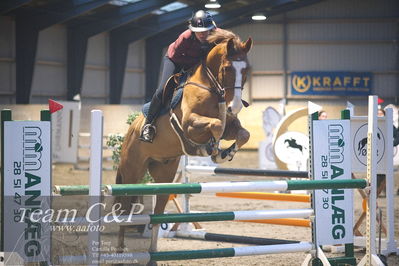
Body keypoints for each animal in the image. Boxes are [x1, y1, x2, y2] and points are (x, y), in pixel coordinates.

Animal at [115, 29, 253, 256]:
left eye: (247, 70)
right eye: (227, 68)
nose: (234, 106)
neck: (211, 88)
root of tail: (130, 132)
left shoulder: (230, 125)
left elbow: (243, 134)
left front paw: (225, 153)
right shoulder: (190, 124)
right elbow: (216, 125)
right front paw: (212, 149)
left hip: (164, 175)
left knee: (157, 213)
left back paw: (153, 254)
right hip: (132, 173)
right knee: (124, 209)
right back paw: (120, 249)